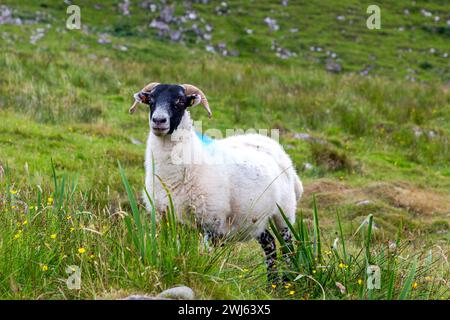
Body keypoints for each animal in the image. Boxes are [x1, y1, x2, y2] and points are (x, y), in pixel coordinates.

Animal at [130, 82, 304, 282]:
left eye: (180, 101)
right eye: (151, 100)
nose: (158, 120)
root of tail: (278, 149)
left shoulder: (211, 220)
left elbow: (205, 256)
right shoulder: (168, 218)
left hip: (284, 214)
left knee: (288, 249)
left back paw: (287, 282)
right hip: (255, 217)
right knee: (270, 246)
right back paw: (272, 284)